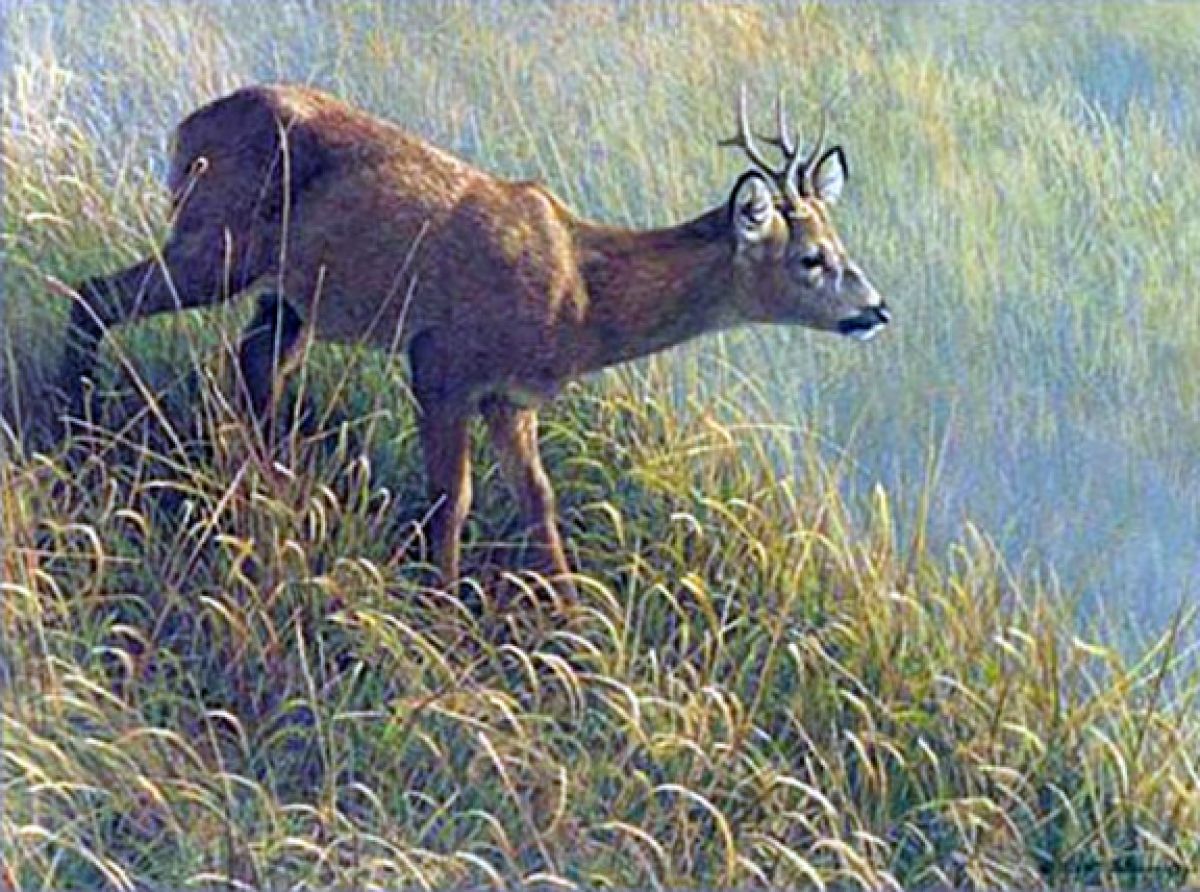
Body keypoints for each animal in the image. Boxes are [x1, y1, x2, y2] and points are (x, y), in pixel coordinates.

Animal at [56, 84, 890, 598]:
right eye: (811, 259)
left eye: (842, 244)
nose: (877, 310)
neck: (582, 297)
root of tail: (183, 130)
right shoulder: (441, 362)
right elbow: (449, 499)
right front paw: (444, 610)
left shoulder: (511, 397)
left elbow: (539, 503)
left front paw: (571, 623)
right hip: (217, 243)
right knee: (94, 296)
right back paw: (74, 429)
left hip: (287, 294)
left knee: (254, 366)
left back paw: (264, 488)